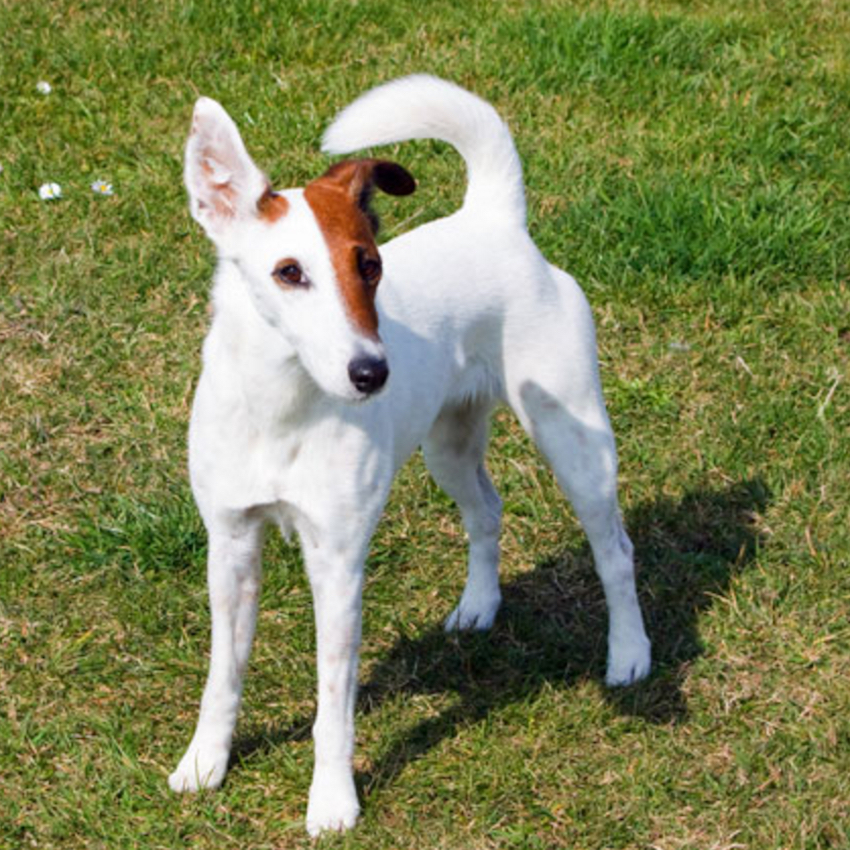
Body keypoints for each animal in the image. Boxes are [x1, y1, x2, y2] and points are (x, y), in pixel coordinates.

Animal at [169, 76, 652, 832]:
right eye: (288, 273)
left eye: (370, 265)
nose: (372, 373)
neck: (283, 406)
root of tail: (493, 219)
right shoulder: (232, 544)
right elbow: (224, 674)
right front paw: (204, 764)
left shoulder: (337, 563)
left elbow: (333, 706)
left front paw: (332, 800)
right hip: (447, 448)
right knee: (487, 510)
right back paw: (479, 605)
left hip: (576, 443)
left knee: (615, 552)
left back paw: (630, 654)